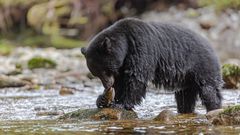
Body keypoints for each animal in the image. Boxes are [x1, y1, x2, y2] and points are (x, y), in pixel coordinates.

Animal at [81, 17, 223, 113]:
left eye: (105, 70)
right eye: (96, 74)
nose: (107, 85)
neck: (125, 43)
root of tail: (211, 46)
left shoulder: (140, 48)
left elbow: (136, 78)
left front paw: (121, 103)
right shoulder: (122, 65)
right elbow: (120, 82)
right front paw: (103, 99)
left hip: (202, 67)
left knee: (209, 91)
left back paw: (214, 108)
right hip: (187, 79)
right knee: (185, 97)